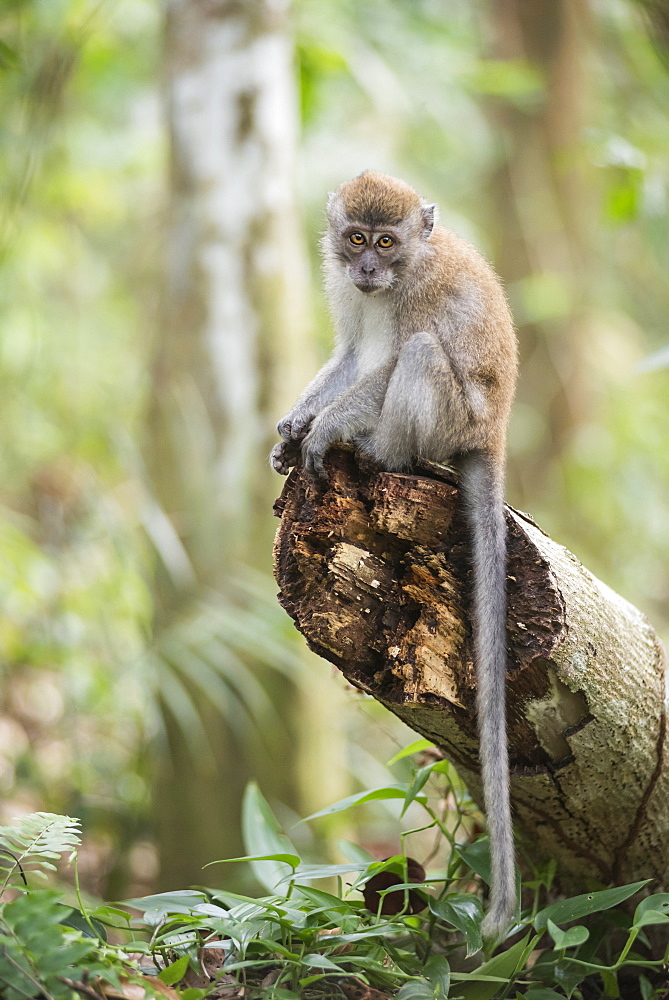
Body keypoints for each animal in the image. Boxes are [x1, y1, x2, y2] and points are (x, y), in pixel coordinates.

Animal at [270, 168, 516, 940]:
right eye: (355, 239)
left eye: (387, 242)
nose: (368, 269)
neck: (398, 277)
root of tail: (492, 435)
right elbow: (352, 353)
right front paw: (295, 423)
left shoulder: (418, 295)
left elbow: (382, 366)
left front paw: (323, 430)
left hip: (451, 421)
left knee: (418, 354)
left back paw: (377, 450)